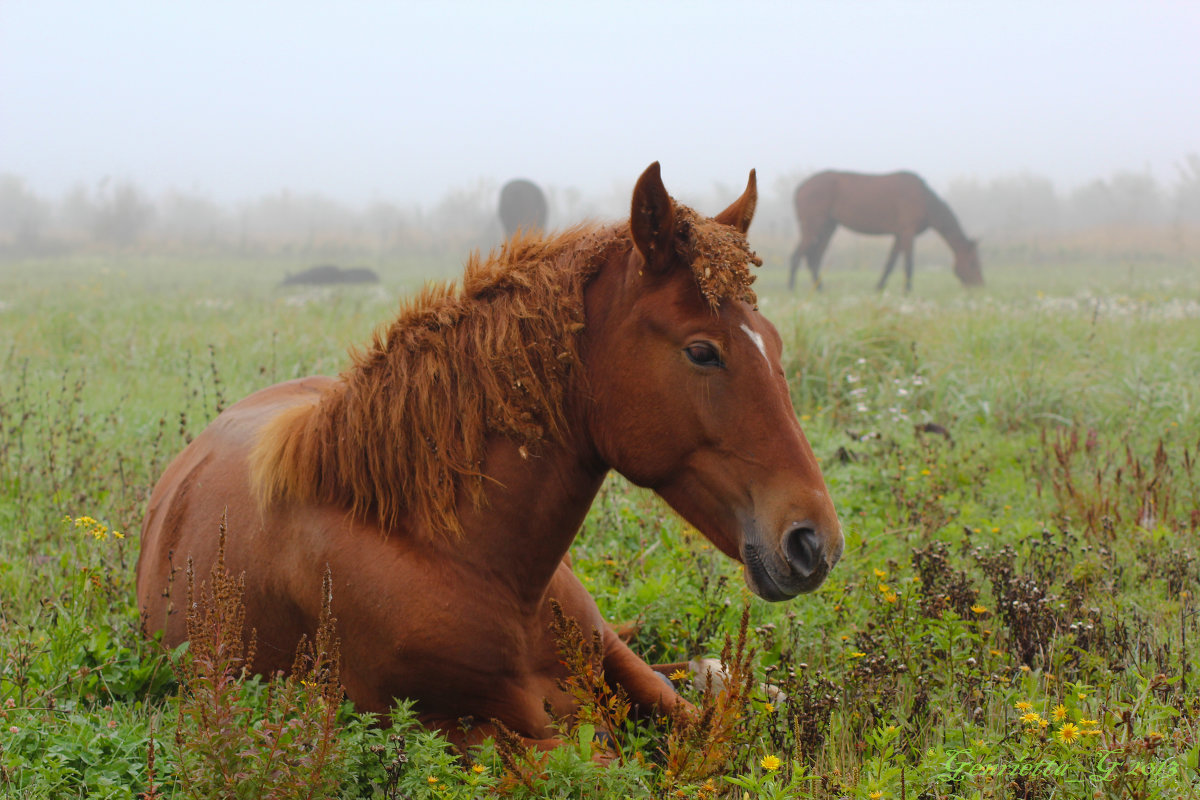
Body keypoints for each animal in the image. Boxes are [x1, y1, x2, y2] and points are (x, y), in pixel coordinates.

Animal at [136, 160, 840, 753]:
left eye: (774, 342)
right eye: (702, 351)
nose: (815, 543)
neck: (457, 559)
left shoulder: (615, 680)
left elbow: (704, 723)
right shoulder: (464, 733)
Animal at [787, 170, 984, 292]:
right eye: (973, 262)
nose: (980, 285)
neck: (924, 199)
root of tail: (800, 188)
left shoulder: (899, 235)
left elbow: (890, 263)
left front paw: (879, 288)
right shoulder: (907, 232)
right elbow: (908, 264)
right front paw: (907, 292)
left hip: (828, 228)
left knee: (814, 258)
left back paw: (820, 290)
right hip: (813, 228)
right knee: (797, 256)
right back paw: (791, 289)